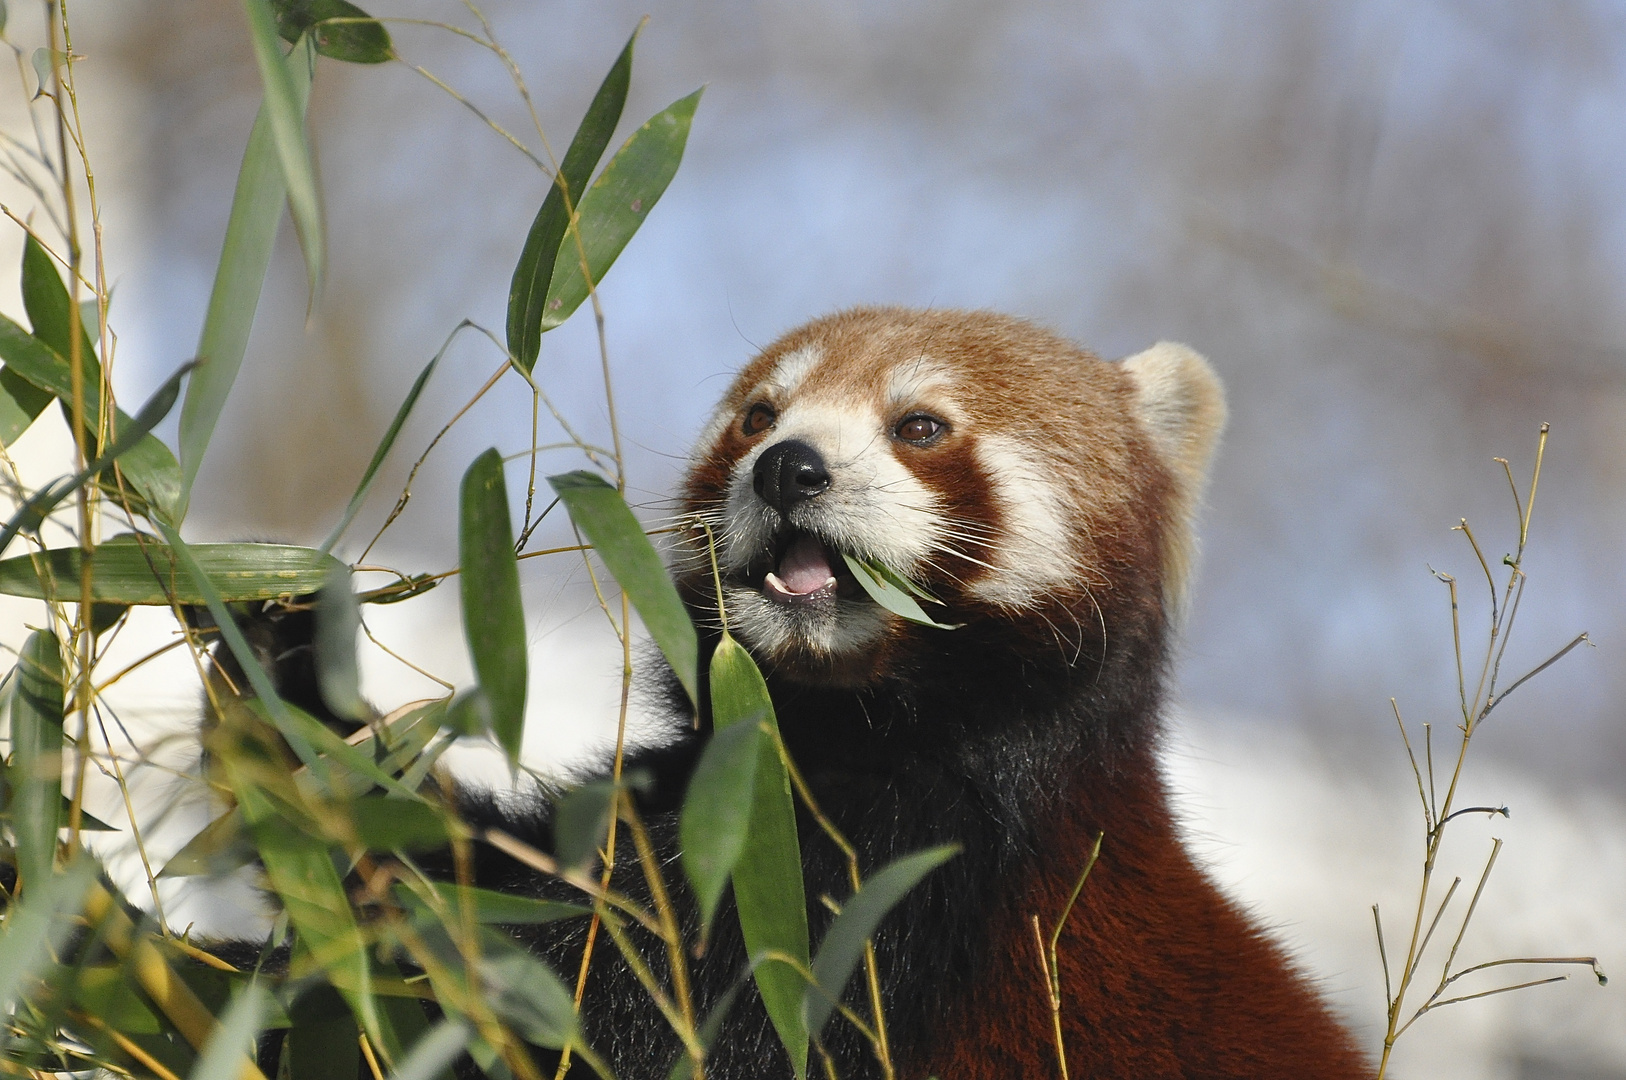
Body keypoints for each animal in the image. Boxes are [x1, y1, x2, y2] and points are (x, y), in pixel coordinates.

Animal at [219, 304, 1359, 1080]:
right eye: (758, 416)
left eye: (921, 427)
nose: (788, 468)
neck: (840, 720)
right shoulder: (714, 784)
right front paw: (277, 650)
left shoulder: (904, 877)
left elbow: (576, 986)